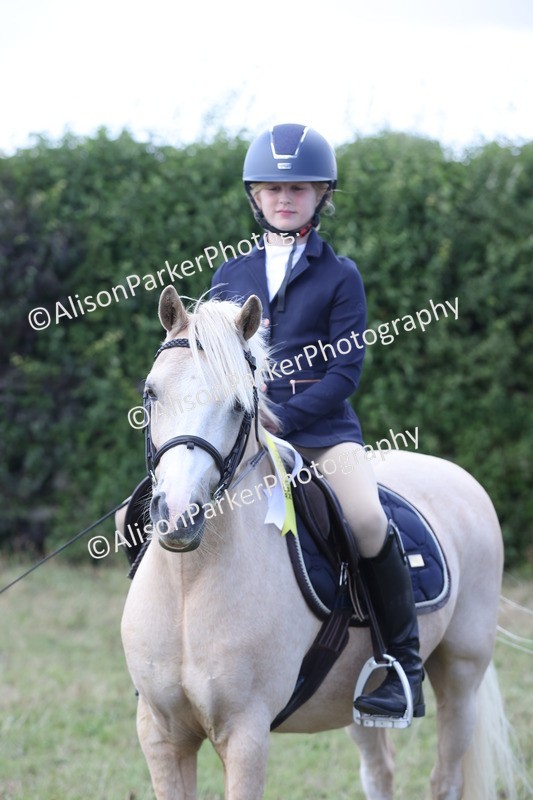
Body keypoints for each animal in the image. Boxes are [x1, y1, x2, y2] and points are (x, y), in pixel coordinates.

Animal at [121, 285, 516, 800]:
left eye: (238, 405)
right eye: (151, 393)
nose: (177, 515)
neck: (190, 583)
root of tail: (458, 475)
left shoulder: (246, 734)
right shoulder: (160, 733)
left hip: (462, 674)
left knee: (445, 777)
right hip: (352, 696)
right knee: (379, 771)